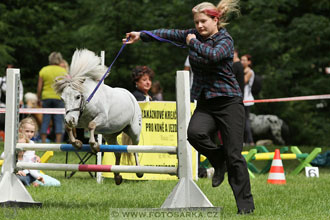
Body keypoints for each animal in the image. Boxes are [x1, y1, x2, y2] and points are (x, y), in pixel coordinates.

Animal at [53, 49, 142, 185]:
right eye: (62, 99)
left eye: (78, 96)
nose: (69, 119)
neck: (88, 101)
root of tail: (130, 96)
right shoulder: (78, 121)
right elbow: (68, 128)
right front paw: (77, 144)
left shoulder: (102, 118)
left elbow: (91, 125)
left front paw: (94, 146)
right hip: (110, 135)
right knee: (117, 151)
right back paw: (117, 176)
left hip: (134, 131)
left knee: (134, 148)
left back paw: (139, 172)